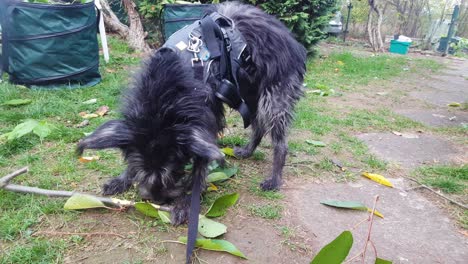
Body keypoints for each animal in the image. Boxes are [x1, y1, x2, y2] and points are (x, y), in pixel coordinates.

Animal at [77, 1, 308, 225]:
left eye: (172, 172)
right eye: (142, 171)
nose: (158, 199)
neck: (164, 98)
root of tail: (291, 39)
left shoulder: (204, 120)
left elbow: (200, 166)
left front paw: (187, 202)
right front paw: (121, 179)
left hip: (273, 96)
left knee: (279, 140)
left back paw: (274, 179)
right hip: (247, 89)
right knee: (258, 124)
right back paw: (247, 151)